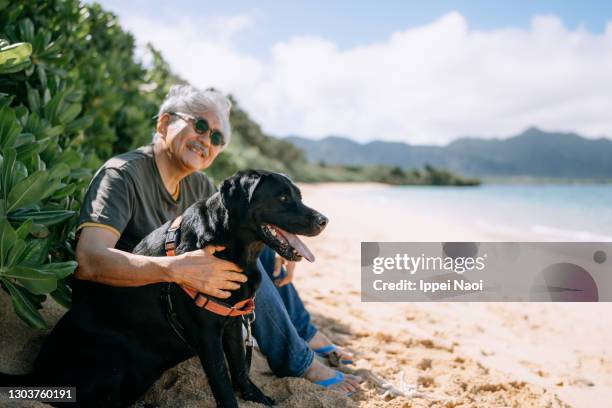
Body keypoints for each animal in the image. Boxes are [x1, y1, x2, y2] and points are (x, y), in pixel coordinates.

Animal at [0, 170, 330, 408]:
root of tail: (36, 374)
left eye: (298, 195)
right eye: (283, 197)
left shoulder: (234, 322)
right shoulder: (207, 335)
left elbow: (239, 368)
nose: (324, 220)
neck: (232, 249)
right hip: (112, 362)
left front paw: (256, 397)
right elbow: (222, 383)